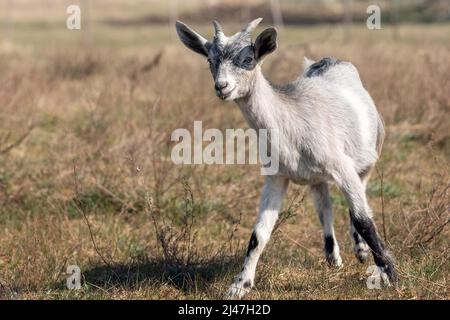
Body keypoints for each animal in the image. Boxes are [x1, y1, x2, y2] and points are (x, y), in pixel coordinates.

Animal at [176, 16, 398, 298]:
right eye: (209, 60)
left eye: (248, 58)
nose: (222, 87)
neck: (292, 122)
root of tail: (331, 60)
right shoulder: (277, 176)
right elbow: (259, 235)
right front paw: (239, 286)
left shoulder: (342, 167)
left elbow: (364, 219)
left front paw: (389, 274)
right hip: (317, 178)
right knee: (324, 207)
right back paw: (333, 258)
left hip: (367, 158)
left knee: (359, 203)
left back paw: (360, 251)